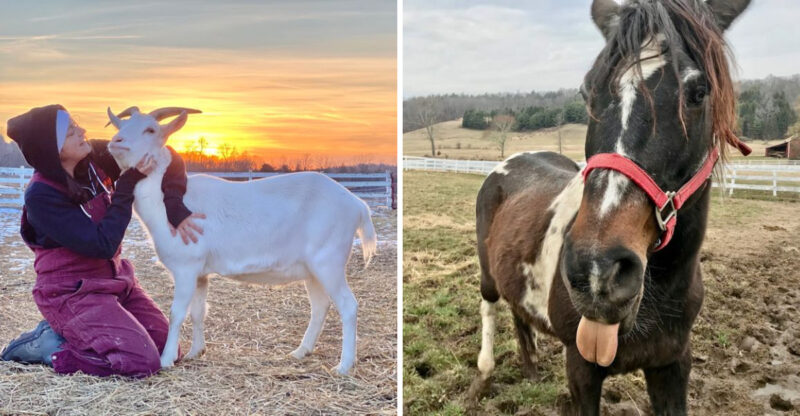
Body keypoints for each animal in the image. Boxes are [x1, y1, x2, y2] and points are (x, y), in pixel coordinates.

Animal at [470, 0, 751, 414]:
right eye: (587, 91)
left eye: (699, 92)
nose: (598, 272)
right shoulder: (581, 368)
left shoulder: (673, 365)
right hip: (487, 275)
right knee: (489, 307)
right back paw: (483, 377)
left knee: (520, 313)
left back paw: (531, 369)